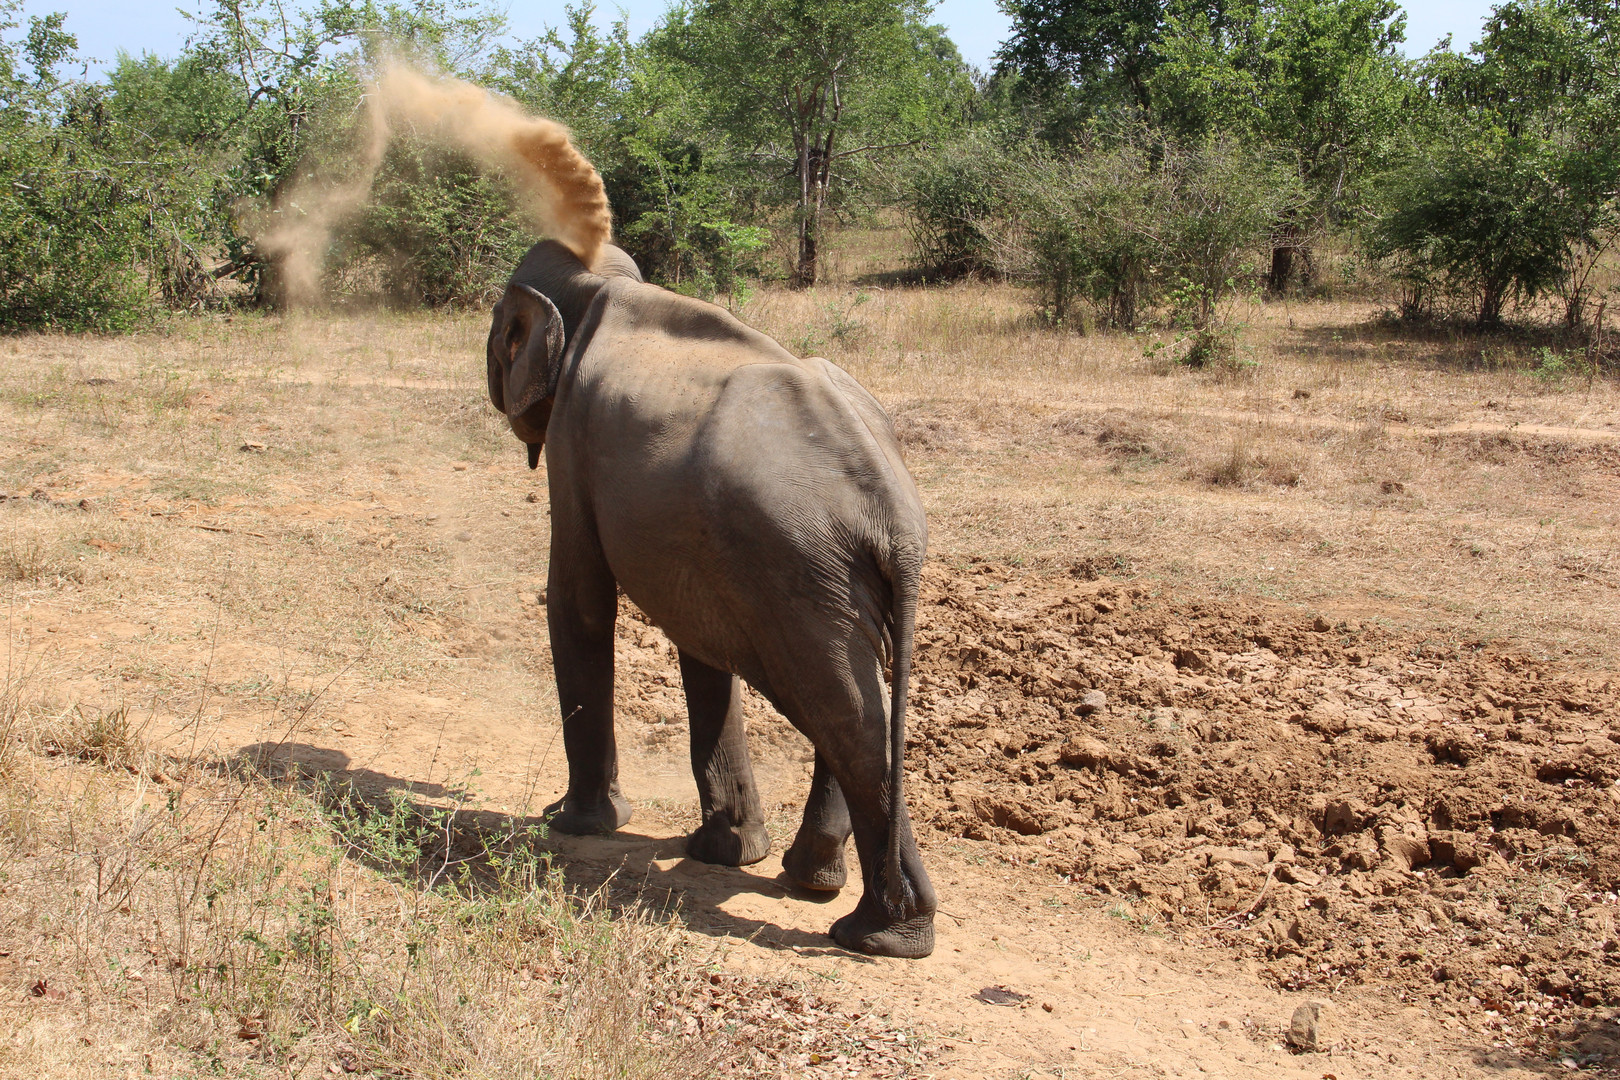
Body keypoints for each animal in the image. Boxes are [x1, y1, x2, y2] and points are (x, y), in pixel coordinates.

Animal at [479, 241, 939, 958]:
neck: (596, 282)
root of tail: (893, 511)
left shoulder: (573, 437)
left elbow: (580, 598)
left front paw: (574, 824)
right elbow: (699, 643)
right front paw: (727, 853)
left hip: (795, 565)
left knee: (838, 708)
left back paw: (871, 934)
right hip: (821, 573)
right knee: (856, 702)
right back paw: (828, 893)